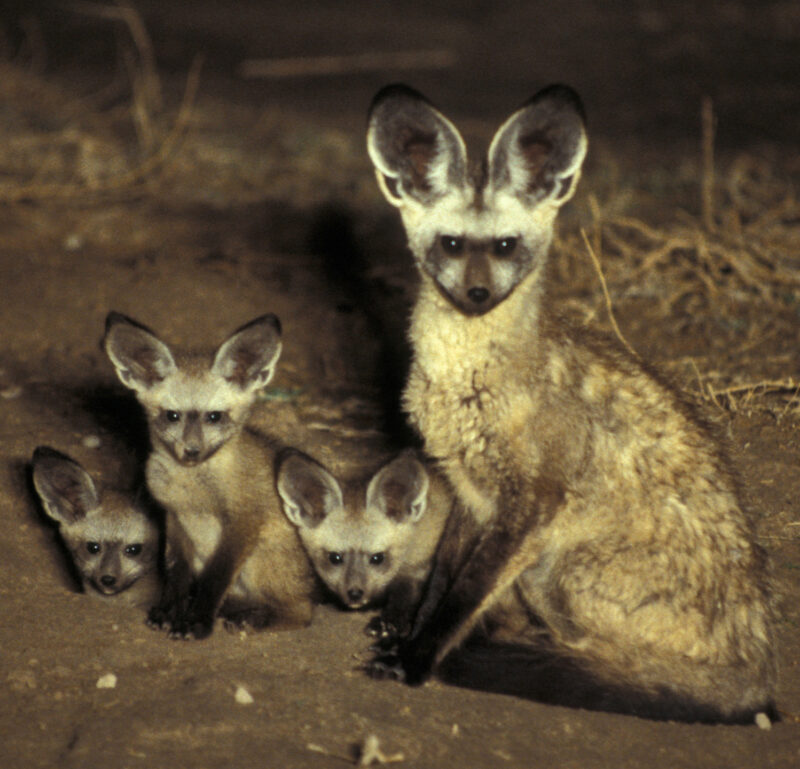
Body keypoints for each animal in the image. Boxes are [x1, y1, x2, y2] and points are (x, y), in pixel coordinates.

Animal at [103, 312, 317, 639]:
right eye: (172, 416)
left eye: (214, 416)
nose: (192, 451)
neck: (194, 495)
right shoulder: (174, 518)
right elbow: (176, 575)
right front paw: (169, 612)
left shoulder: (241, 523)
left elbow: (214, 580)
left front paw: (197, 622)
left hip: (261, 563)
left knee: (301, 613)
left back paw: (253, 619)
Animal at [276, 449, 450, 637]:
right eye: (335, 558)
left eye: (378, 558)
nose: (355, 594)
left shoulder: (419, 564)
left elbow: (407, 594)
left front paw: (391, 621)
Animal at [364, 83, 776, 723]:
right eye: (451, 244)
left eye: (505, 246)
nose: (477, 294)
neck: (470, 381)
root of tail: (758, 669)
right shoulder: (468, 489)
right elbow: (442, 579)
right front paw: (412, 632)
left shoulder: (531, 505)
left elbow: (462, 596)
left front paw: (419, 659)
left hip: (552, 574)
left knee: (594, 655)